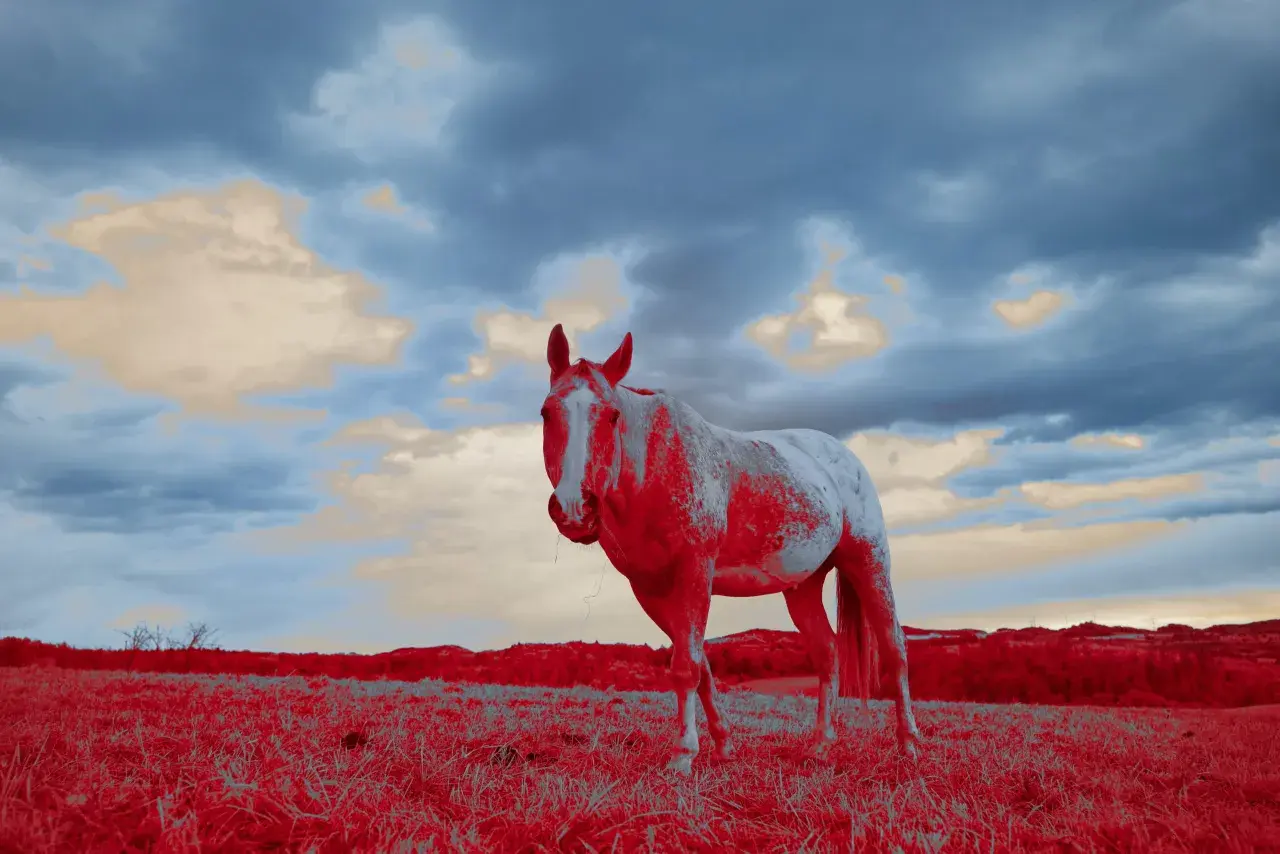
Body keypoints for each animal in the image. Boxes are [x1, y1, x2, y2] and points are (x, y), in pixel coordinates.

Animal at [541, 323, 921, 773]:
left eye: (612, 416)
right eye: (546, 413)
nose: (574, 509)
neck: (653, 468)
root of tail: (844, 457)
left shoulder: (695, 572)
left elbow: (686, 666)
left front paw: (683, 756)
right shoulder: (649, 588)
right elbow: (699, 665)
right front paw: (723, 745)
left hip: (868, 562)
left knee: (895, 648)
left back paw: (909, 744)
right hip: (803, 586)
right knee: (828, 654)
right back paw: (821, 745)